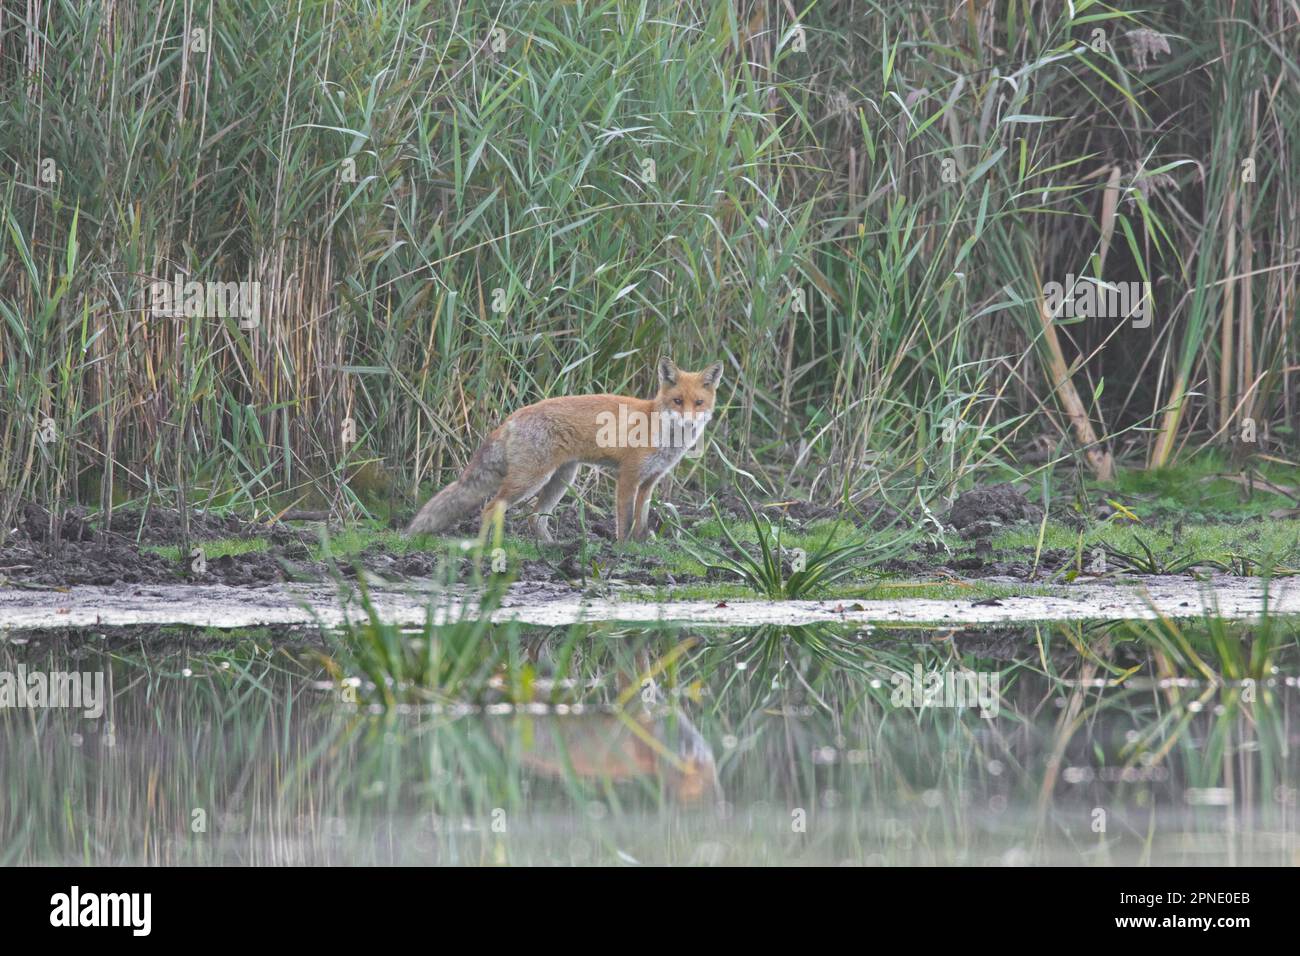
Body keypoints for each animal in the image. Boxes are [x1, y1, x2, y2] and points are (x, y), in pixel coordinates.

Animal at [406, 357, 723, 542]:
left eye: (698, 403)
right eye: (677, 401)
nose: (689, 421)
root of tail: (511, 417)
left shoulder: (649, 482)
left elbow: (641, 521)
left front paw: (641, 547)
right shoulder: (627, 477)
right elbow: (624, 520)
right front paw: (623, 550)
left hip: (561, 478)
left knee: (535, 516)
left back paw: (551, 549)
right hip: (531, 479)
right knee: (491, 507)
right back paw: (487, 548)